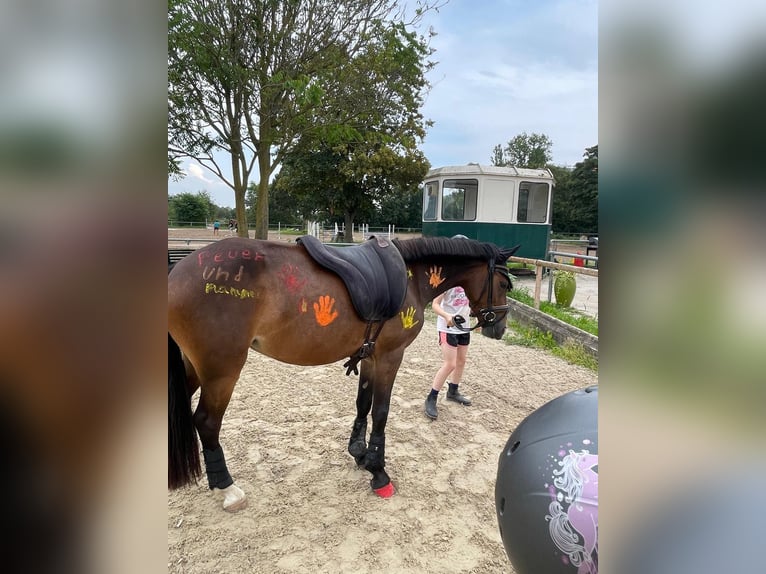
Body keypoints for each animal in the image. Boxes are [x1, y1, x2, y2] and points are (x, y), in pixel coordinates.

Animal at [168, 234, 516, 512]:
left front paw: (359, 454)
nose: (499, 328)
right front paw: (379, 472)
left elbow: (363, 405)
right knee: (207, 423)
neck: (411, 277)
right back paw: (227, 487)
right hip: (221, 371)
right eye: (503, 284)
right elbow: (381, 412)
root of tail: (177, 273)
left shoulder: (369, 355)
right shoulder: (390, 356)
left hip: (195, 367)